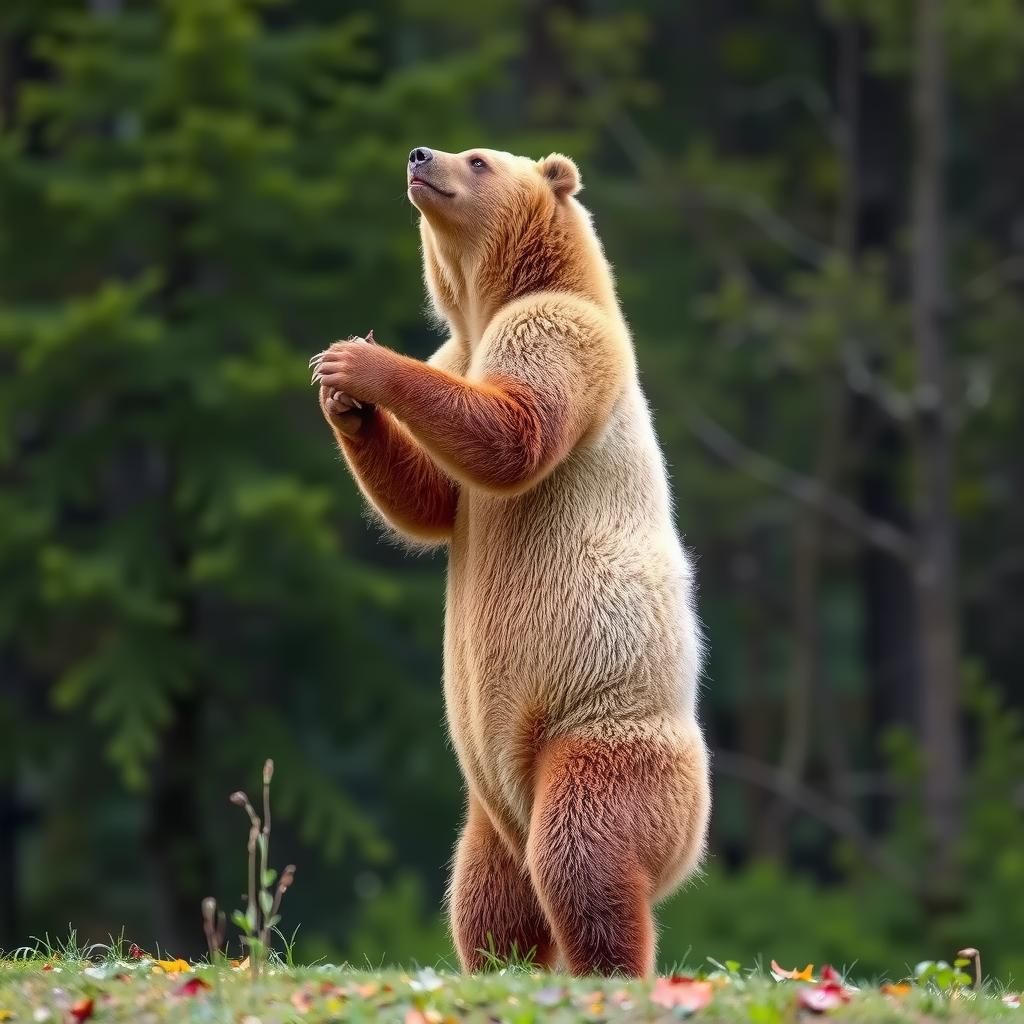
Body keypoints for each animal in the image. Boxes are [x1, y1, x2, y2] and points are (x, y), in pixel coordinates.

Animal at [311, 146, 710, 977]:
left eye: (479, 159)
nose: (419, 155)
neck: (482, 304)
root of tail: (693, 846)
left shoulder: (556, 334)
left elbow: (511, 430)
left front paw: (361, 362)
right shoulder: (459, 351)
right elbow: (430, 499)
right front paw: (342, 399)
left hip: (598, 731)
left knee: (585, 857)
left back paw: (607, 970)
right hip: (488, 810)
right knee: (487, 894)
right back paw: (501, 964)